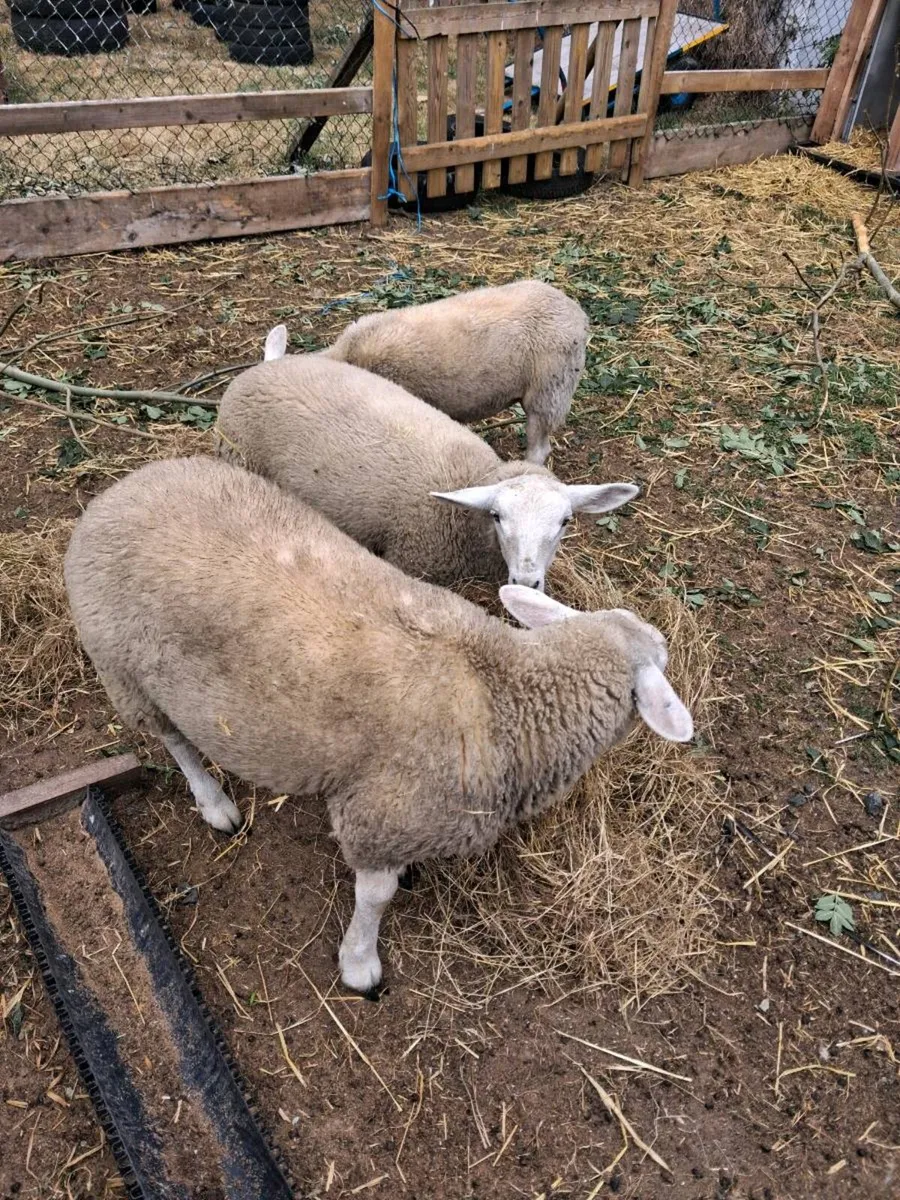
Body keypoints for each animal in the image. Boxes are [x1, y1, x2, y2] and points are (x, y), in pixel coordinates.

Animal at [64, 456, 693, 993]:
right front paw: (360, 962)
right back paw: (214, 803)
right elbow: (376, 895)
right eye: (661, 662)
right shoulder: (382, 814)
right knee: (173, 739)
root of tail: (119, 491)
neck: (505, 688)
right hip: (122, 666)